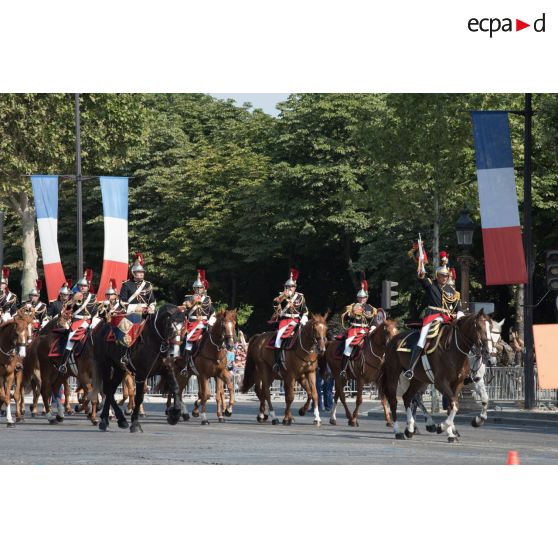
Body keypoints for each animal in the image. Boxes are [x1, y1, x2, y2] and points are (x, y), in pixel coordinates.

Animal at [91, 306, 185, 434]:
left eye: (184, 328)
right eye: (170, 328)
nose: (174, 354)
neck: (155, 341)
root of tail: (100, 326)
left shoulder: (167, 370)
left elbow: (175, 388)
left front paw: (174, 415)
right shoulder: (141, 375)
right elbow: (139, 397)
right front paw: (135, 423)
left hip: (119, 369)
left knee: (110, 389)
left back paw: (108, 420)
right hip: (105, 365)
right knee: (107, 390)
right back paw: (118, 419)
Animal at [380, 312, 494, 444]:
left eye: (492, 328)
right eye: (479, 327)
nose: (489, 354)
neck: (453, 349)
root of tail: (393, 339)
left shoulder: (461, 383)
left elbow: (465, 403)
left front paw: (468, 425)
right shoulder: (441, 383)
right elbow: (454, 405)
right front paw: (443, 427)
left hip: (418, 380)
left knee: (408, 397)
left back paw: (410, 429)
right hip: (394, 375)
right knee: (395, 401)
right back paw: (399, 431)